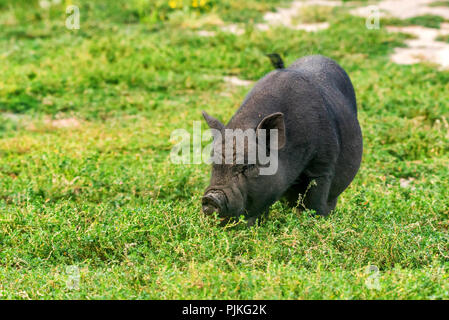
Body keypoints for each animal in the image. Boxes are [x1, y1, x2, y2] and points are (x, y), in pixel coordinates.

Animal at [201, 54, 362, 225]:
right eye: (213, 163)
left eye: (249, 165)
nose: (210, 198)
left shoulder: (324, 164)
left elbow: (316, 200)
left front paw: (315, 222)